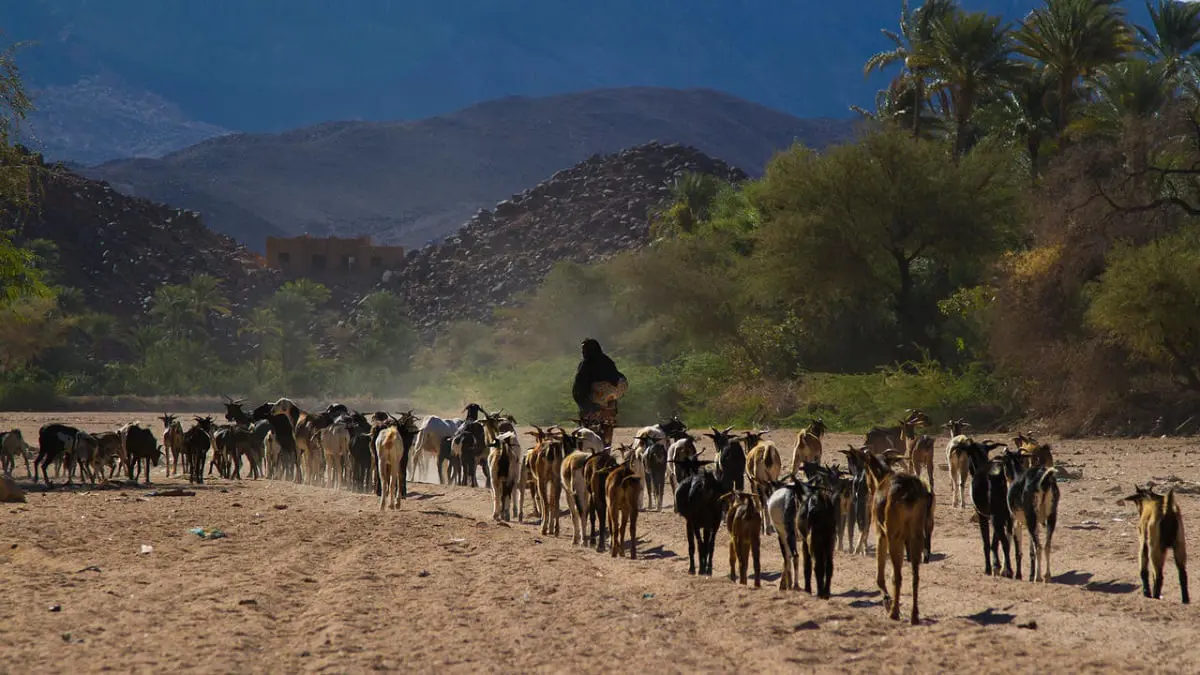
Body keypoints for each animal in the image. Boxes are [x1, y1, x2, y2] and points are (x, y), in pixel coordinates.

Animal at [1003, 449, 1060, 581]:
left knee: (1038, 546)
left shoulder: (1015, 521)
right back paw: (1046, 575)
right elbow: (1031, 550)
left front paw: (1014, 574)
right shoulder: (1037, 524)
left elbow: (1016, 548)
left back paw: (1037, 577)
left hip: (1031, 519)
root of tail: (1044, 481)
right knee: (1046, 546)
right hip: (1050, 517)